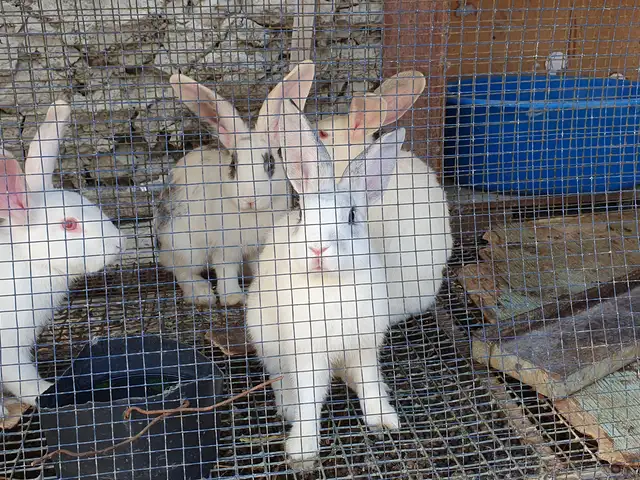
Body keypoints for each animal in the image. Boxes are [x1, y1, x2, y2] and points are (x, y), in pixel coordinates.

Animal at [0, 101, 124, 412]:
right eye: (68, 224)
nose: (120, 242)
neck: (28, 262)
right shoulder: (9, 345)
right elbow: (21, 378)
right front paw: (46, 391)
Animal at [154, 61, 316, 307]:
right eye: (233, 165)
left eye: (270, 163)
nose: (249, 199)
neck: (252, 215)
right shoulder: (225, 247)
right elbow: (225, 270)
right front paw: (233, 298)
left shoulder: (260, 246)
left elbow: (260, 267)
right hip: (184, 245)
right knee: (182, 271)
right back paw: (202, 294)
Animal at [246, 98, 403, 470]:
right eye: (304, 214)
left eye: (352, 216)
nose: (318, 248)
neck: (330, 282)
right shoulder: (307, 352)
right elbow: (308, 398)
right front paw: (302, 450)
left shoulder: (364, 344)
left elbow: (368, 383)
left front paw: (383, 419)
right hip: (265, 338)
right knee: (279, 379)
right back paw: (286, 407)